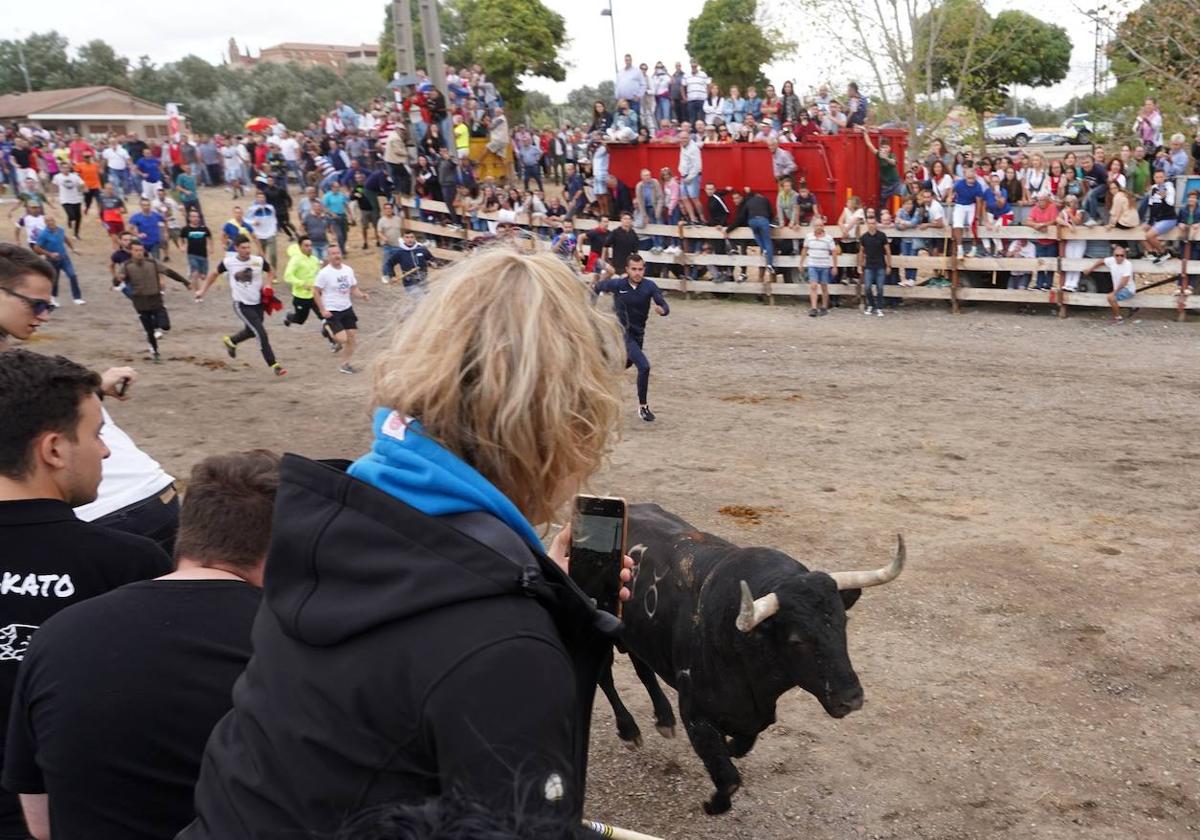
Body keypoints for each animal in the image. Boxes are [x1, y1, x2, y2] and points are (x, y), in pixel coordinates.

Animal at [595, 506, 902, 816]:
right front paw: (713, 804)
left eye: (844, 622)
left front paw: (732, 746)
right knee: (604, 677)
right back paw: (629, 729)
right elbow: (729, 777)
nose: (851, 699)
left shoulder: (758, 713)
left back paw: (664, 719)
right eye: (796, 640)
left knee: (643, 668)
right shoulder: (695, 714)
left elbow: (749, 737)